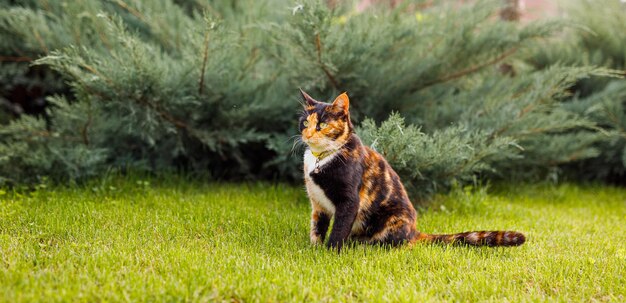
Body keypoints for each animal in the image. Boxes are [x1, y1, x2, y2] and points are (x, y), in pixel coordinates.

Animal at [300, 89, 524, 252]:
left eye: (322, 124)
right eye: (305, 122)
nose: (308, 134)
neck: (321, 159)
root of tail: (413, 231)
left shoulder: (349, 200)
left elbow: (339, 228)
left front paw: (331, 252)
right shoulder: (318, 203)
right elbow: (317, 226)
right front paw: (315, 248)